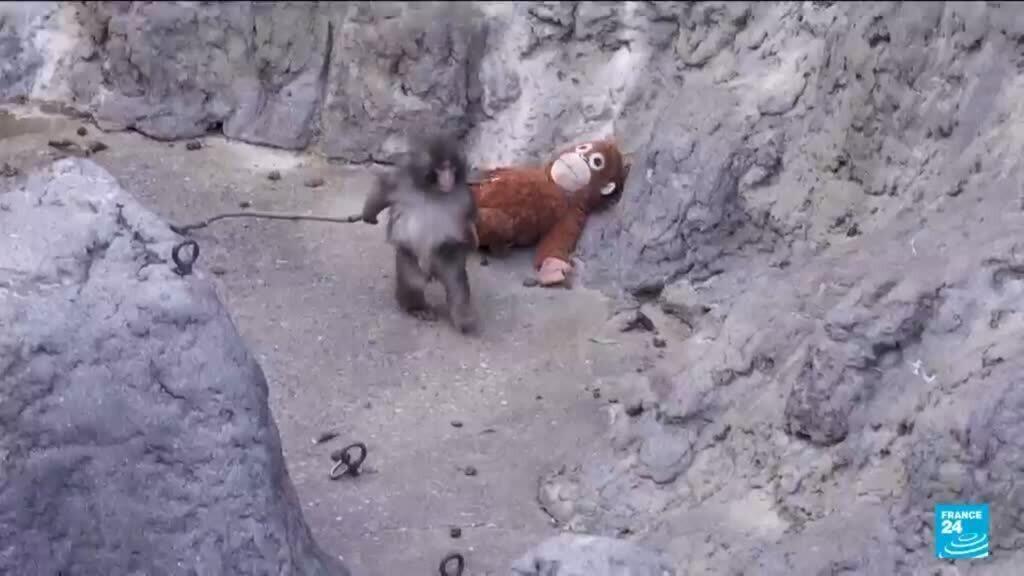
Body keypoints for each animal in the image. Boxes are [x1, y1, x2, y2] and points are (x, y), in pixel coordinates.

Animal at [361, 133, 479, 334]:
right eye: (441, 168)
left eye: (452, 167)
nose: (448, 178)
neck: (433, 191)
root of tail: (431, 273)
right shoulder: (402, 183)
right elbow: (383, 190)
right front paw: (368, 214)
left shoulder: (464, 195)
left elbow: (470, 218)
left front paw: (473, 236)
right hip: (410, 258)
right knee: (413, 281)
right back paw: (417, 308)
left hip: (444, 256)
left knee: (456, 284)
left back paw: (463, 320)